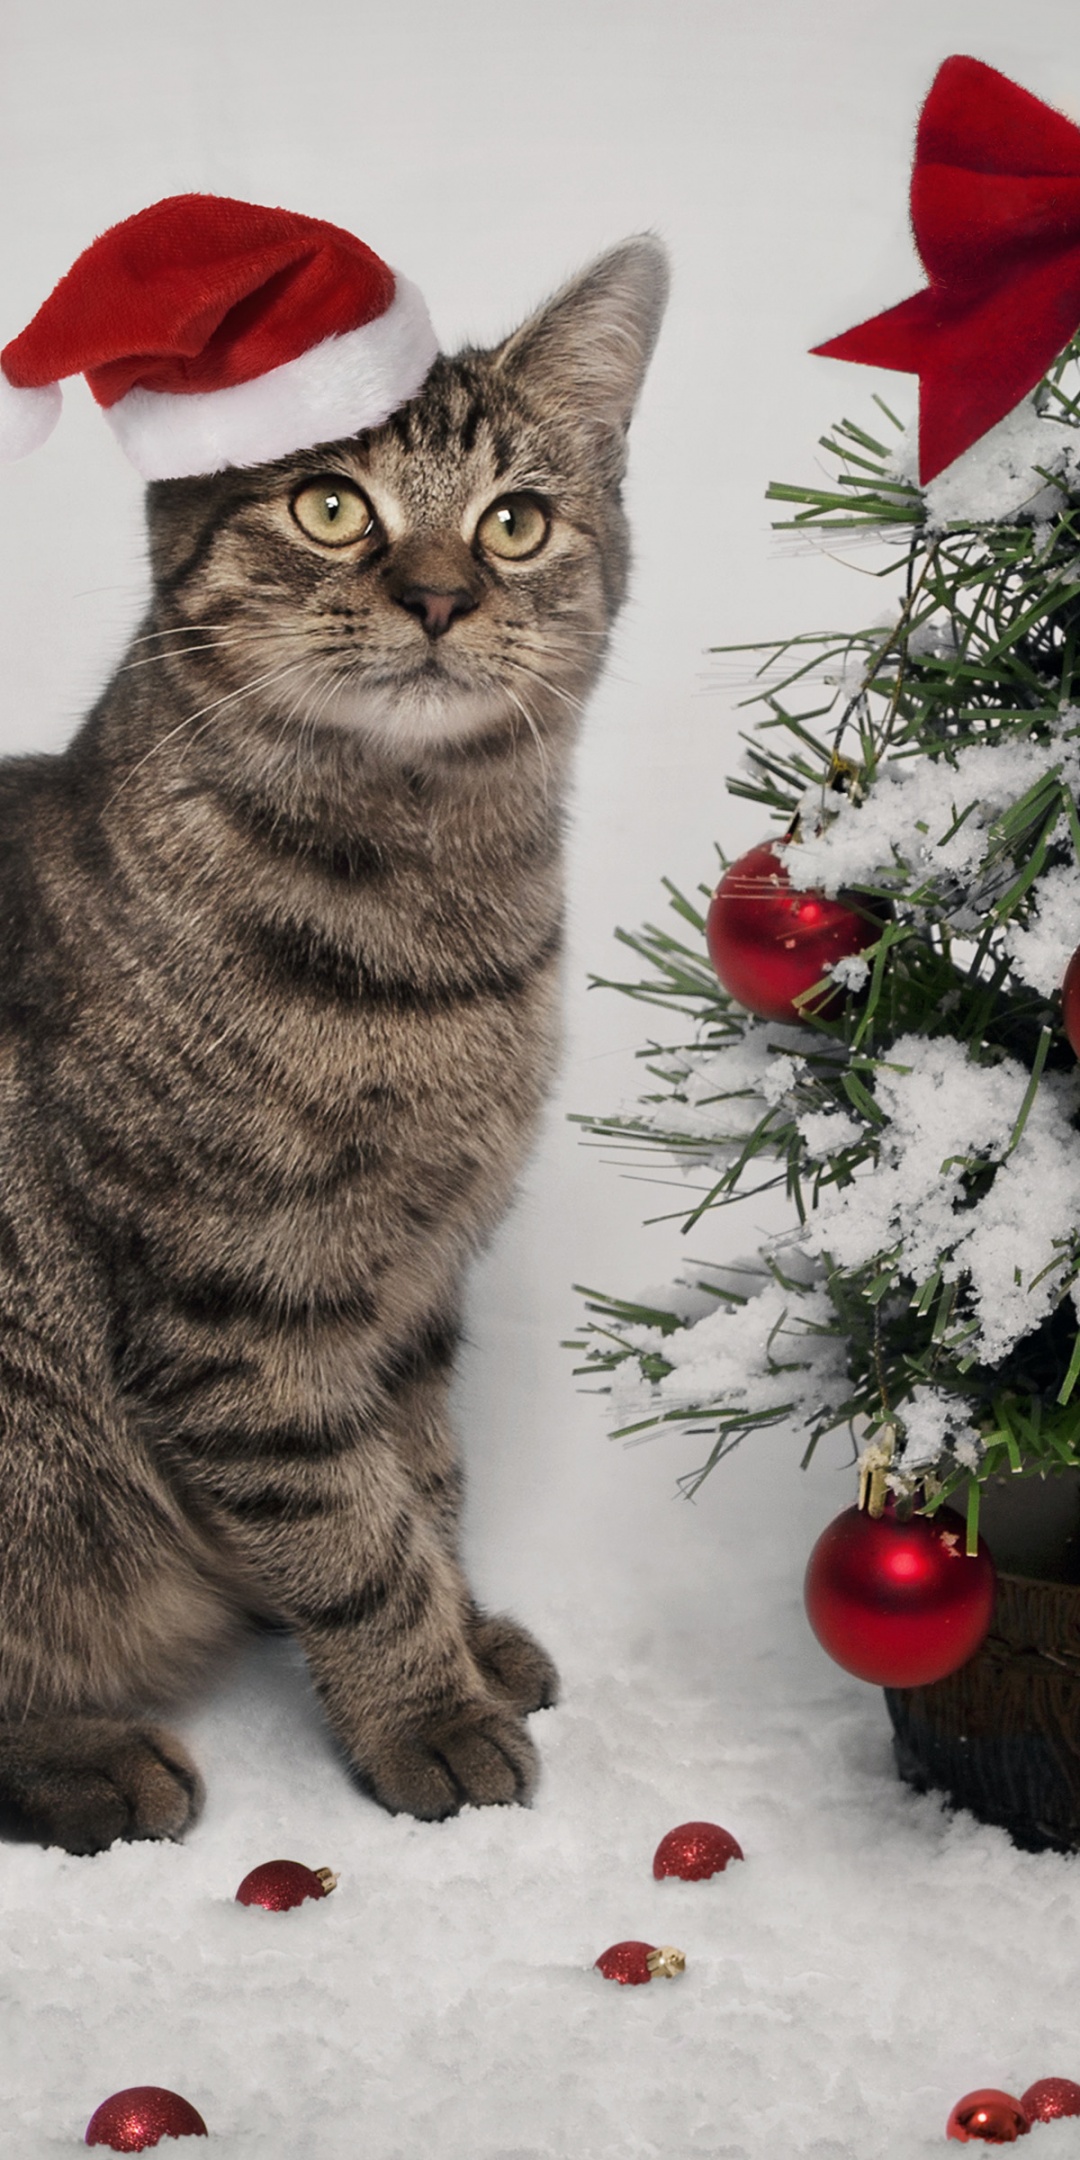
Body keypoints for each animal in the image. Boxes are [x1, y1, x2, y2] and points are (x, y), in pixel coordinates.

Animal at [0, 236, 665, 1857]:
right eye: (330, 505)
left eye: (514, 522)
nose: (436, 596)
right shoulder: (237, 1300)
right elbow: (348, 1528)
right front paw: (426, 1713)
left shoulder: (411, 1282)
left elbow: (422, 1478)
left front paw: (466, 1635)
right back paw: (88, 1757)